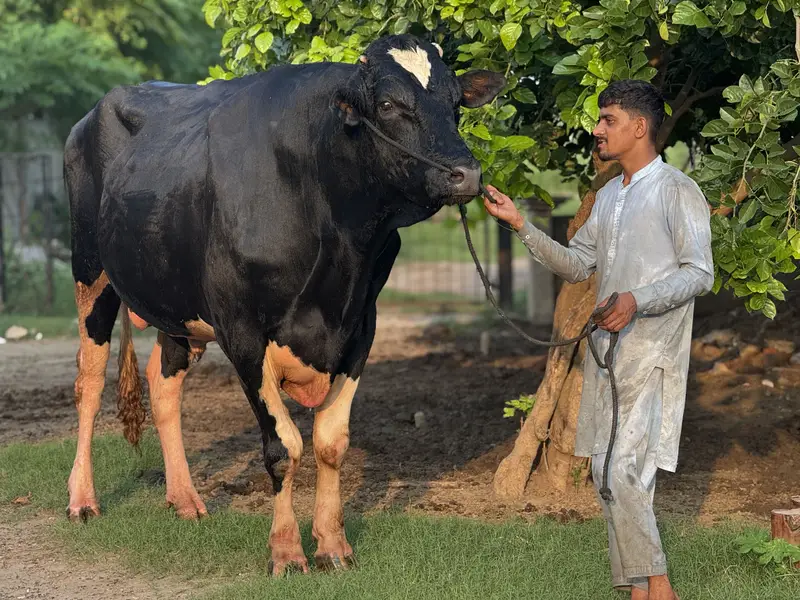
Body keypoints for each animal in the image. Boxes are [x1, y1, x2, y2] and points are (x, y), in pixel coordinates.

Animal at [64, 33, 505, 574]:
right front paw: (287, 552)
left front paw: (333, 546)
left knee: (162, 383)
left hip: (174, 297)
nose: (466, 173)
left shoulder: (361, 326)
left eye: (456, 102)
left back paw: (185, 500)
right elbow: (283, 448)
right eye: (386, 105)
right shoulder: (241, 332)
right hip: (90, 270)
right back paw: (82, 500)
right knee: (88, 382)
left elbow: (331, 444)